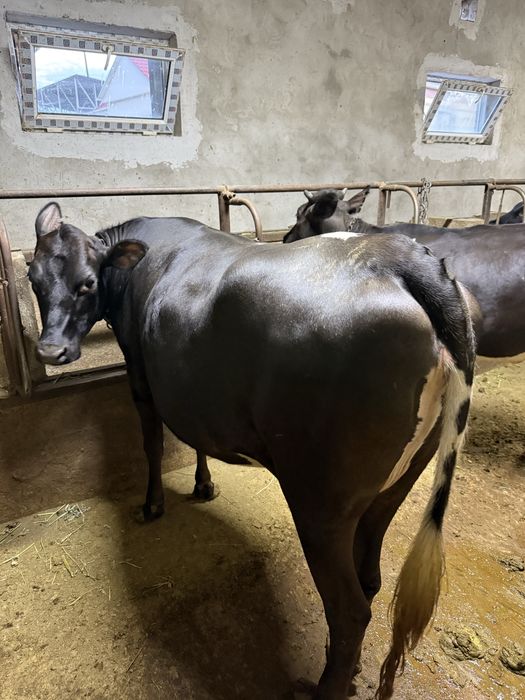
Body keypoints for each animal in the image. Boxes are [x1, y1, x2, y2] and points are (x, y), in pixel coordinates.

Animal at [29, 202, 475, 700]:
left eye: (87, 282)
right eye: (33, 278)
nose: (50, 350)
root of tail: (399, 258)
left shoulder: (140, 373)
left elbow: (153, 442)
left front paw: (153, 504)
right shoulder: (194, 393)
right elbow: (196, 440)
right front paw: (204, 484)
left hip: (320, 503)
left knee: (350, 610)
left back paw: (326, 687)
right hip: (398, 482)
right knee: (371, 579)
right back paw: (350, 670)